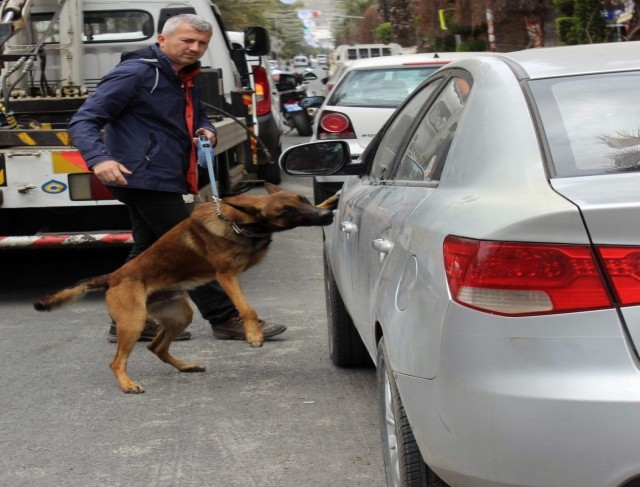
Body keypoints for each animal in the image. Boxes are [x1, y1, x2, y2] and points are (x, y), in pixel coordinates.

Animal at [33, 185, 340, 394]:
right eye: (287, 212)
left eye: (303, 200)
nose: (326, 216)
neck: (237, 221)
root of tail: (115, 276)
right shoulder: (226, 276)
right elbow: (246, 308)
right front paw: (254, 335)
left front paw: (331, 199)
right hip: (133, 322)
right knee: (117, 361)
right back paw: (127, 384)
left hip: (179, 315)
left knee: (156, 347)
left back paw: (185, 366)